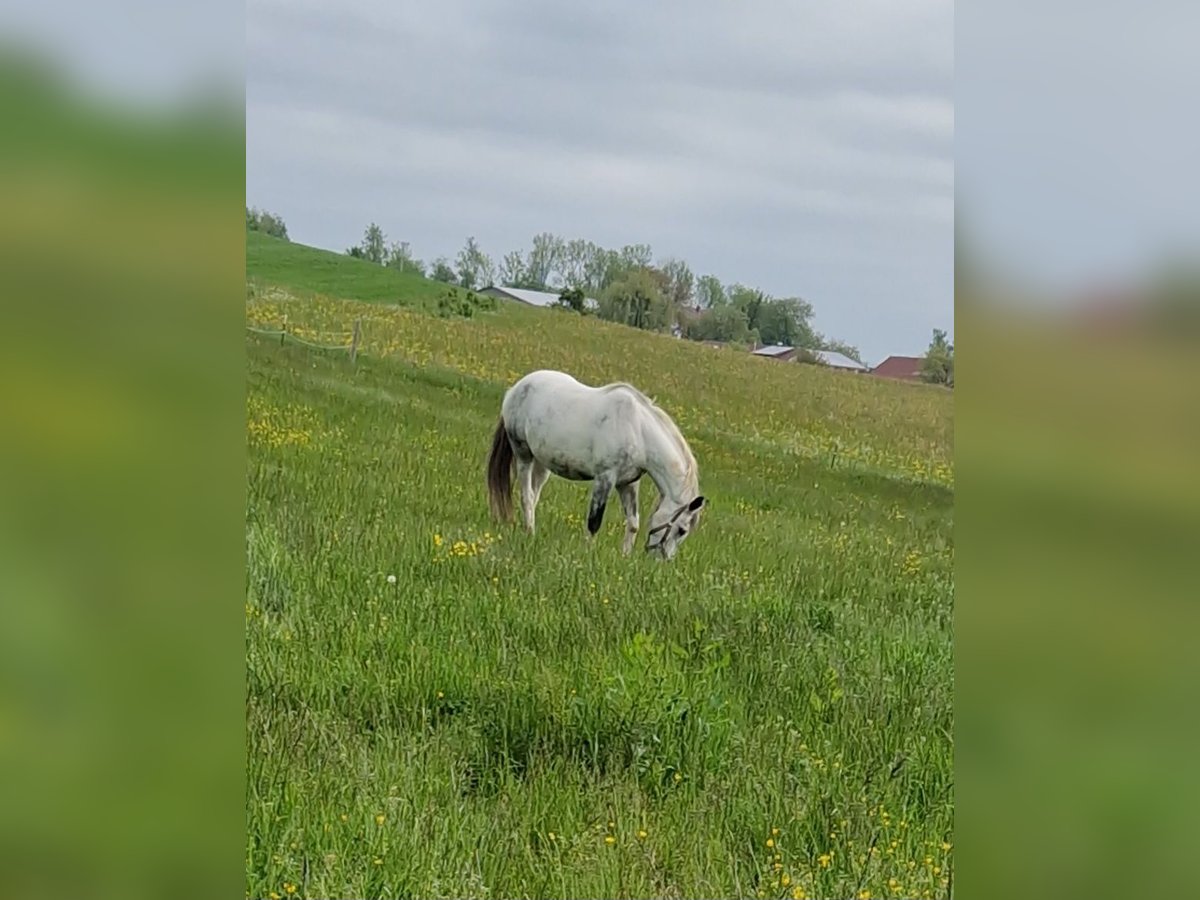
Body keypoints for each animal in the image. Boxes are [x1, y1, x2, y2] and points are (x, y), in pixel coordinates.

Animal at [484, 369, 700, 561]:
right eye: (682, 530)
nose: (662, 561)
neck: (638, 430)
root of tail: (515, 389)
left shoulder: (628, 483)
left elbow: (633, 523)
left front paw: (625, 557)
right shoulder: (605, 478)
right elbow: (594, 522)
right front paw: (587, 555)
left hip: (542, 464)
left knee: (534, 495)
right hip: (523, 455)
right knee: (526, 496)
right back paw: (530, 532)